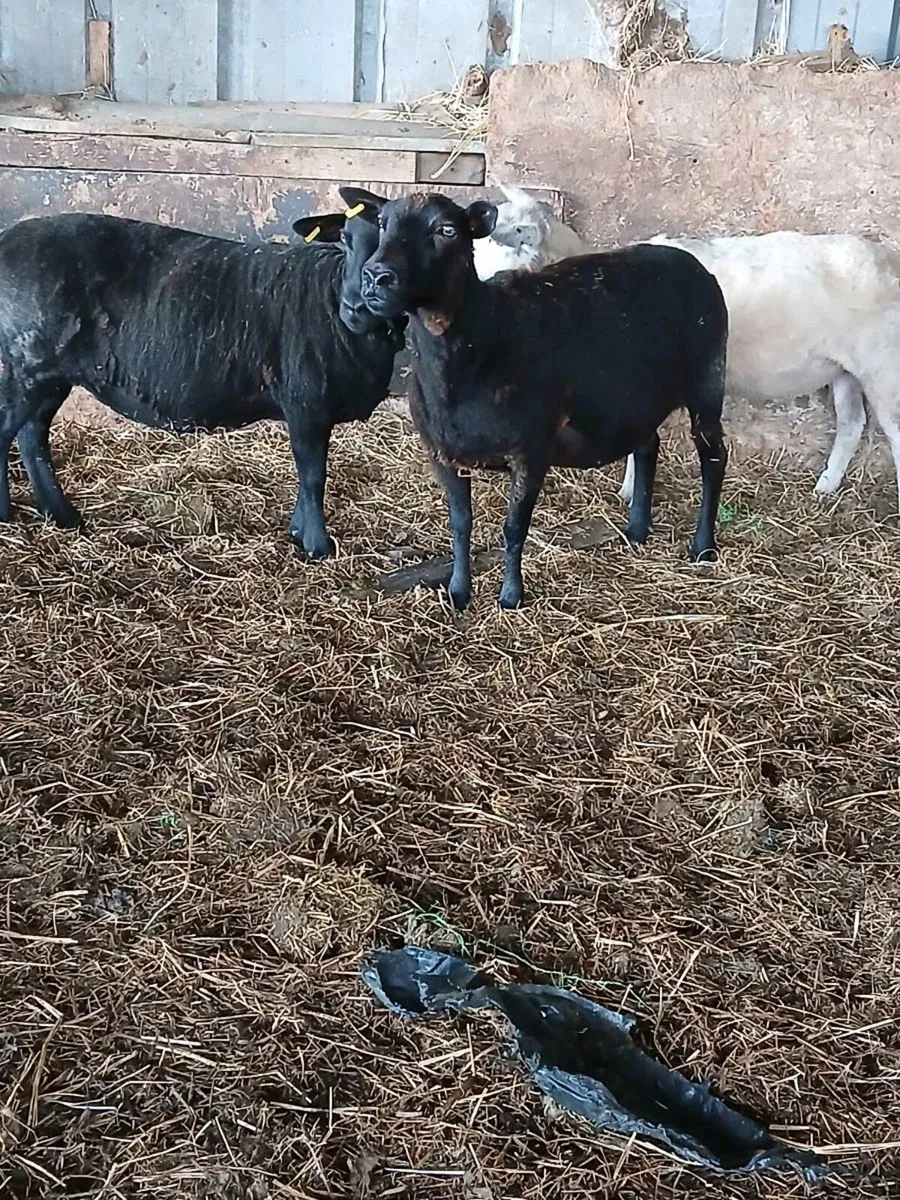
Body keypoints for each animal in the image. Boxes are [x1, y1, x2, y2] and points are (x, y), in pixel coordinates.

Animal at [0, 196, 406, 556]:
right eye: (344, 239)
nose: (356, 303)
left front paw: (298, 532)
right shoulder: (306, 402)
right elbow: (313, 475)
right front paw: (317, 546)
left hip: (47, 374)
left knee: (32, 436)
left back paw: (61, 515)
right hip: (25, 364)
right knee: (10, 433)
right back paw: (11, 513)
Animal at [351, 187, 729, 611]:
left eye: (447, 230)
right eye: (382, 222)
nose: (375, 277)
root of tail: (690, 262)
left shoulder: (531, 452)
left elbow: (514, 529)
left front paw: (511, 596)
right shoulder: (442, 454)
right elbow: (460, 525)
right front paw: (459, 591)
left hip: (707, 382)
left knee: (714, 457)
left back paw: (703, 547)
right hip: (638, 400)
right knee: (648, 446)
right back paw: (636, 530)